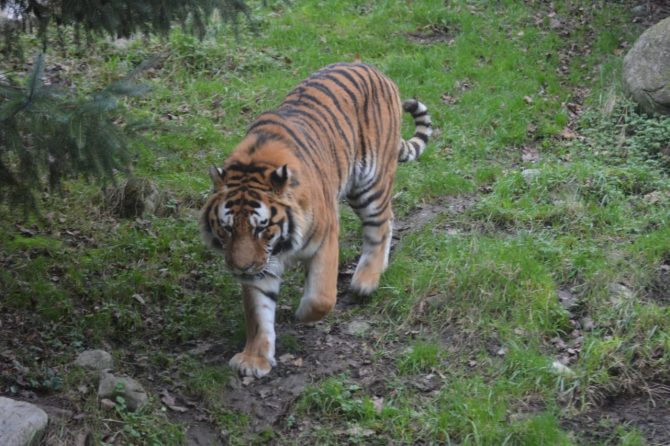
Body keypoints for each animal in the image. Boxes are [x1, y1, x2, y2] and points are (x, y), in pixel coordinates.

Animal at [200, 61, 434, 376]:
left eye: (262, 227)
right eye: (226, 229)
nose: (241, 268)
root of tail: (370, 67)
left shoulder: (325, 239)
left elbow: (322, 296)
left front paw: (302, 316)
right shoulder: (262, 266)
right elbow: (258, 314)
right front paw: (254, 360)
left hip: (369, 185)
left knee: (380, 225)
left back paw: (366, 281)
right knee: (390, 217)